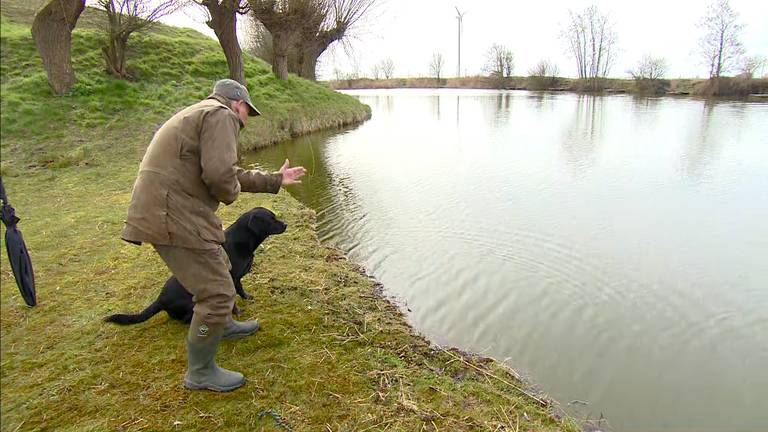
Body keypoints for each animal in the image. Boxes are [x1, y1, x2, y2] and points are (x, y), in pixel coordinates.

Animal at [106, 208, 288, 326]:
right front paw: (238, 311)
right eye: (271, 219)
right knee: (185, 319)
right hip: (192, 302)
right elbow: (237, 293)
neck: (242, 240)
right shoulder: (231, 277)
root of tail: (160, 299)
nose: (285, 224)